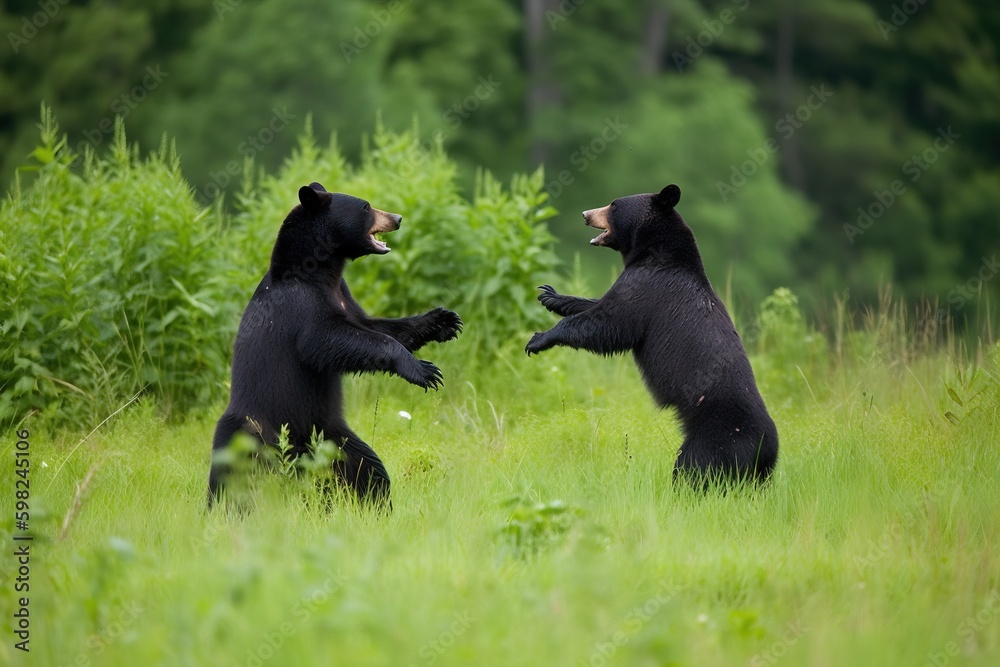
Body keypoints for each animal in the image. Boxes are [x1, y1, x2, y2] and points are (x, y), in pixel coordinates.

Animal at [213, 183, 462, 506]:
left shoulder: (345, 296)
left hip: (332, 435)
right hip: (249, 434)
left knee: (367, 468)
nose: (397, 217)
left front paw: (443, 321)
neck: (319, 274)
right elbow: (328, 340)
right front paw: (424, 370)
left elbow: (375, 327)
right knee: (234, 481)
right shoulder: (300, 306)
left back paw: (373, 502)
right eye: (366, 206)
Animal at [528, 183, 776, 486]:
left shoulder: (648, 287)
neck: (656, 251)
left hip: (717, 439)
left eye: (613, 205)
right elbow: (599, 305)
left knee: (692, 468)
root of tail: (766, 450)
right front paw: (550, 296)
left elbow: (610, 323)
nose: (585, 214)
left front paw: (539, 338)